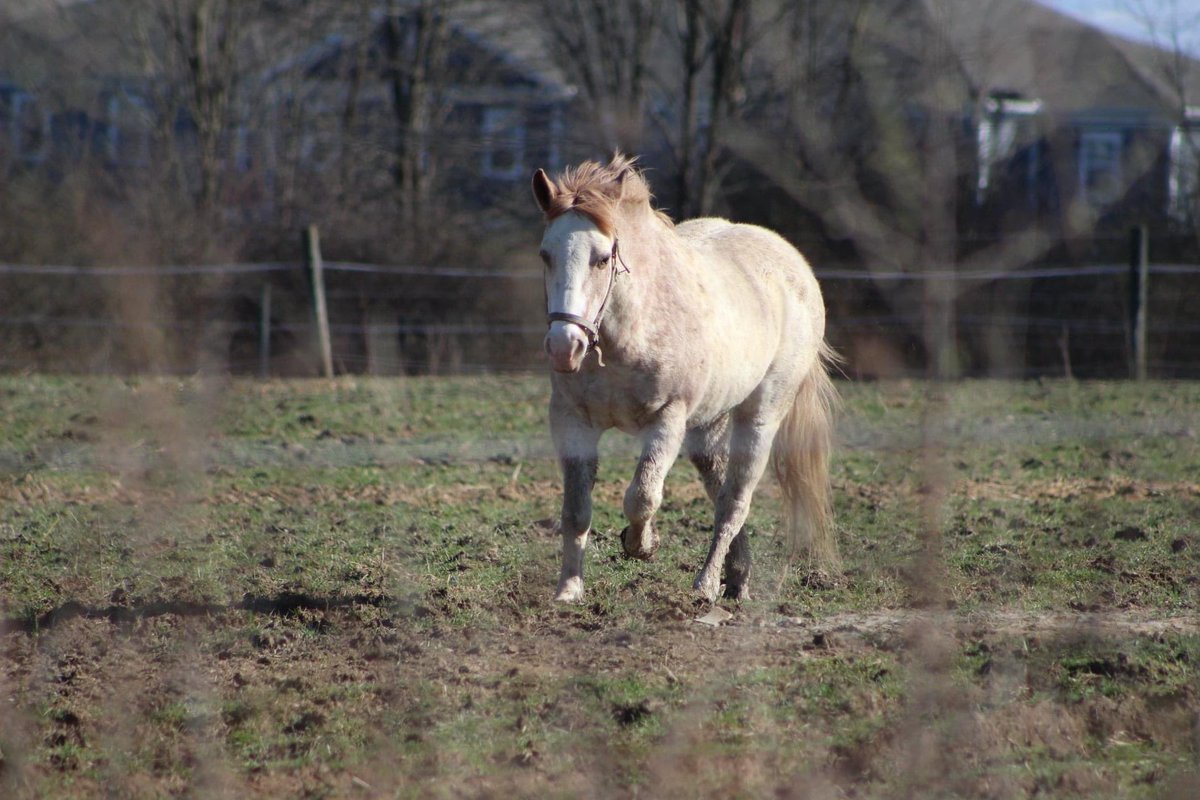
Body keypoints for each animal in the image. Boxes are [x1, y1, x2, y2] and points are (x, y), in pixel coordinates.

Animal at [532, 154, 839, 603]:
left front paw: (642, 545)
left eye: (602, 259)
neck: (629, 332)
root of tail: (795, 267)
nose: (563, 346)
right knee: (720, 489)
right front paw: (569, 590)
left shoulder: (668, 420)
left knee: (734, 501)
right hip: (707, 428)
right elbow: (575, 511)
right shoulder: (572, 422)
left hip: (759, 419)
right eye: (546, 255)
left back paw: (706, 585)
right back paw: (737, 578)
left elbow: (642, 496)